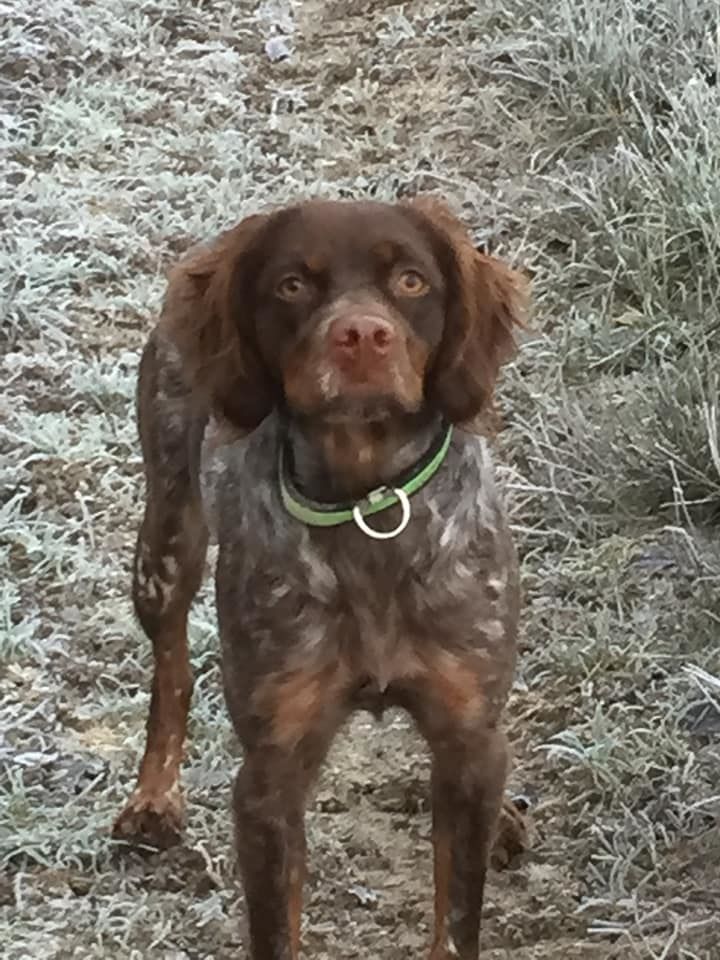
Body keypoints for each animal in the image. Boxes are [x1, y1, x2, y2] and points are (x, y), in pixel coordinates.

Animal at [112, 197, 528, 960]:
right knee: (171, 662)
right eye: (292, 286)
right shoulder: (271, 772)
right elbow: (277, 928)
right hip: (166, 543)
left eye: (412, 281)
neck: (368, 507)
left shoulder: (465, 737)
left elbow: (458, 912)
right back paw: (154, 797)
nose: (361, 335)